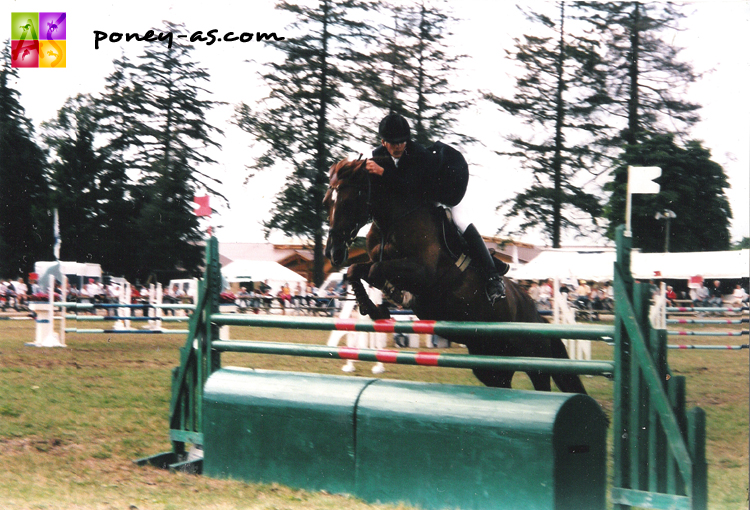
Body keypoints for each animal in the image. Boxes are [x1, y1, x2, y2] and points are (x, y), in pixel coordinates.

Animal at [324, 157, 588, 392]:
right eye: (328, 202)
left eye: (348, 202)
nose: (333, 252)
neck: (393, 221)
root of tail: (536, 315)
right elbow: (356, 270)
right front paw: (373, 308)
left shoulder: (423, 273)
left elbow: (376, 271)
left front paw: (391, 299)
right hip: (490, 362)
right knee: (502, 384)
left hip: (533, 358)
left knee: (542, 382)